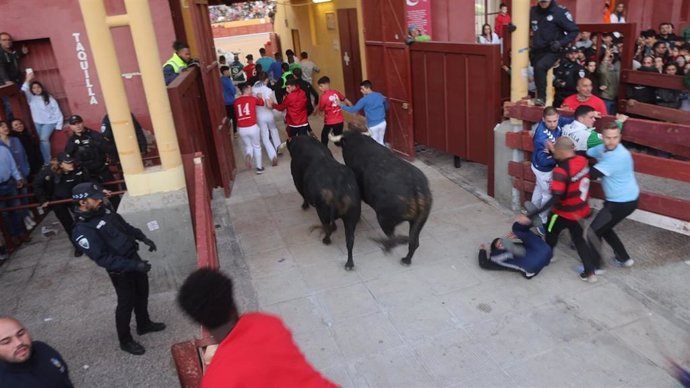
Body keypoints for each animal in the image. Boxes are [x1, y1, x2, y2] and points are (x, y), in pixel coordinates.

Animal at [286, 136, 360, 270]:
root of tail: (340, 185)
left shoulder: (297, 180)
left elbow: (303, 195)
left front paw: (304, 205)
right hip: (351, 217)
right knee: (350, 239)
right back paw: (349, 263)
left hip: (323, 211)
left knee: (328, 227)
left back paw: (326, 240)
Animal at [330, 132, 430, 266]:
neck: (359, 143)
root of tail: (416, 187)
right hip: (419, 220)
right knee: (414, 241)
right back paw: (406, 259)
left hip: (385, 219)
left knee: (394, 237)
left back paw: (386, 246)